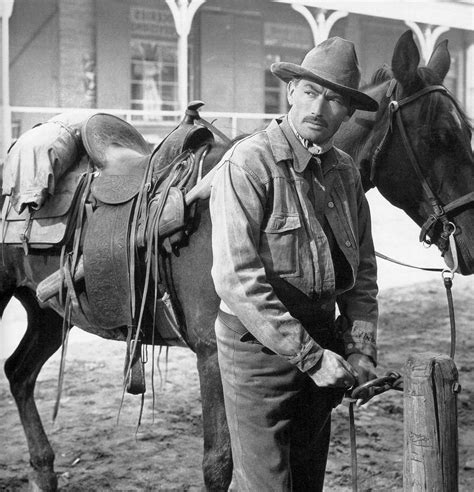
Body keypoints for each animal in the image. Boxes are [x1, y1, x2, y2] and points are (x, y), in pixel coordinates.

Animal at [0, 30, 470, 492]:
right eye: (442, 135)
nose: (469, 241)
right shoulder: (212, 354)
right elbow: (220, 464)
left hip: (47, 310)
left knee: (19, 372)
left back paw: (44, 470)